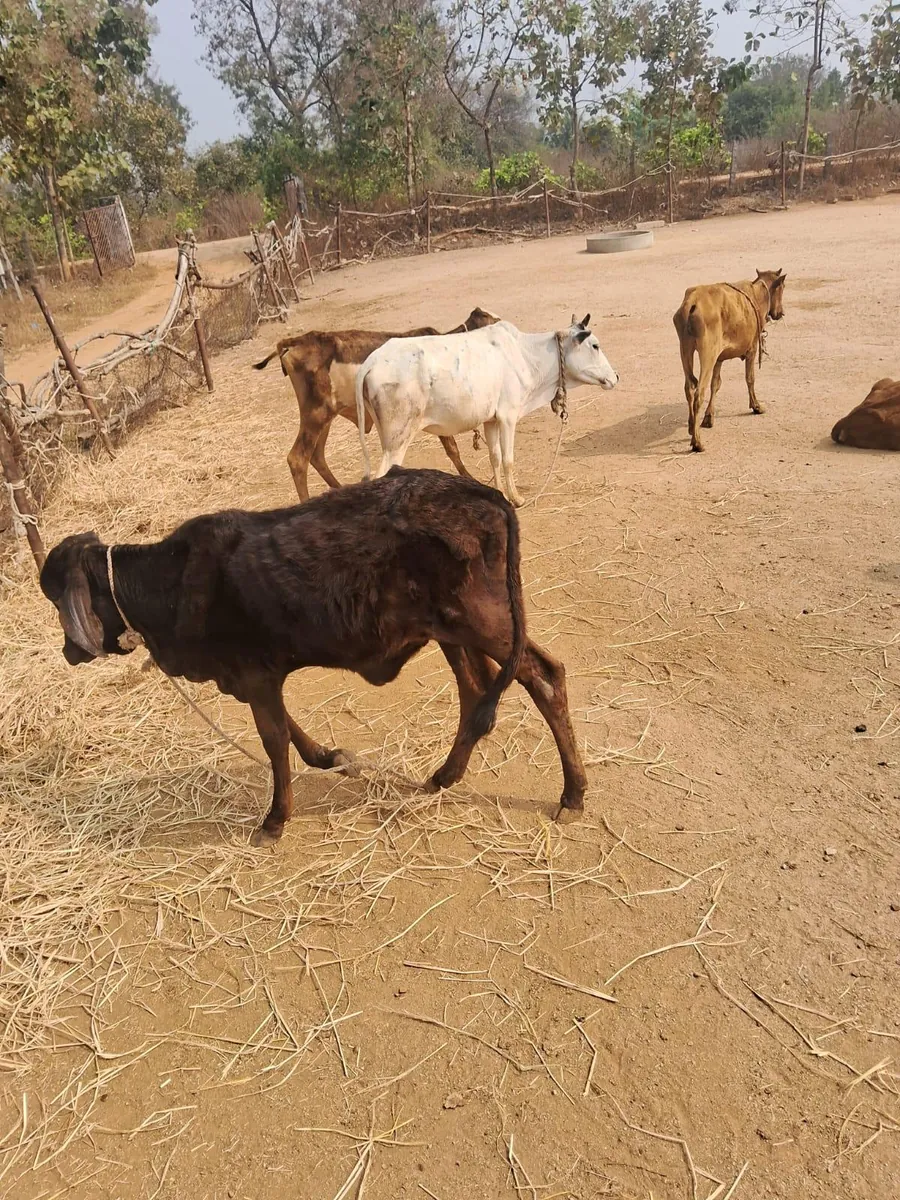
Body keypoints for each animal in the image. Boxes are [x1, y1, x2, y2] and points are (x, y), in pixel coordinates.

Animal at [40, 468, 588, 847]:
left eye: (57, 597)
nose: (69, 651)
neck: (173, 584)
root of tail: (482, 493)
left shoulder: (254, 675)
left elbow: (274, 741)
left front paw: (274, 821)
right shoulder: (256, 676)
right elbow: (288, 731)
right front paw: (328, 758)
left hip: (486, 621)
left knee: (545, 676)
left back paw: (573, 794)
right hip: (450, 630)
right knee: (476, 692)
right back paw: (444, 776)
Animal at [253, 307, 500, 501]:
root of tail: (293, 342)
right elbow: (453, 450)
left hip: (324, 417)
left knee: (316, 455)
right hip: (317, 413)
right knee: (298, 459)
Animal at [354, 315, 618, 507]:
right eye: (595, 345)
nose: (615, 376)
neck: (527, 356)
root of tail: (372, 361)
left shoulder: (491, 420)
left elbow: (495, 457)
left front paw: (499, 493)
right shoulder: (508, 416)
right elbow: (509, 460)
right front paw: (517, 499)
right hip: (397, 440)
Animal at [673, 269, 787, 452]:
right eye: (782, 287)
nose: (780, 313)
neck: (757, 293)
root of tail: (692, 303)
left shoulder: (718, 358)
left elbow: (716, 384)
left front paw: (708, 417)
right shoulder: (752, 348)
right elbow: (750, 378)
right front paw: (756, 406)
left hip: (685, 349)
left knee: (689, 388)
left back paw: (692, 427)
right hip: (707, 353)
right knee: (699, 393)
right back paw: (697, 442)